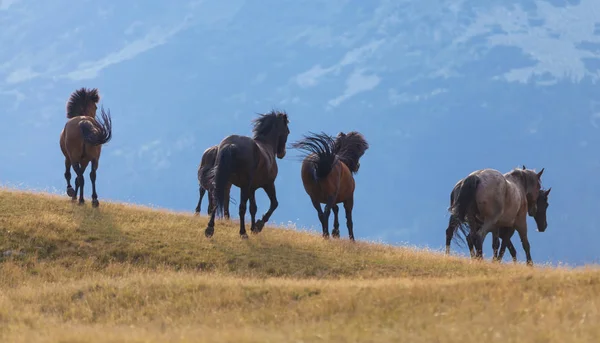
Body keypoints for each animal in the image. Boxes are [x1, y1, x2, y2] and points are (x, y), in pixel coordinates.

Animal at [202, 111, 290, 239]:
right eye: (287, 131)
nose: (282, 153)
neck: (266, 145)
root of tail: (232, 145)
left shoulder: (252, 188)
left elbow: (253, 208)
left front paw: (253, 227)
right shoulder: (268, 184)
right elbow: (274, 204)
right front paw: (258, 225)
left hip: (223, 180)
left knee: (216, 200)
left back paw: (210, 228)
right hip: (244, 186)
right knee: (241, 207)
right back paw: (243, 232)